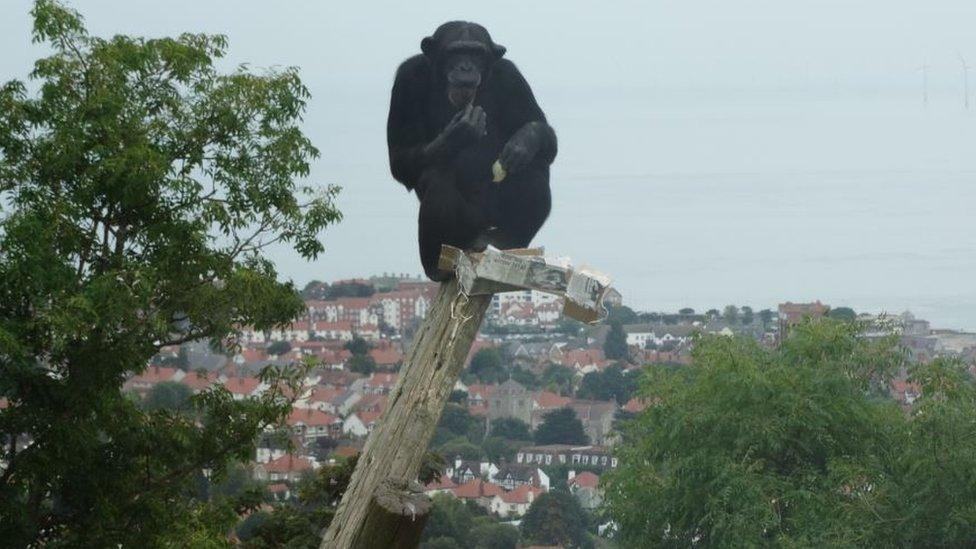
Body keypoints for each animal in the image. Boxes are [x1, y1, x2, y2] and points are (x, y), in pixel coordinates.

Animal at [386, 20, 556, 280]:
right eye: (455, 52)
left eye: (476, 53)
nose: (465, 67)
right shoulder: (407, 79)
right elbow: (400, 157)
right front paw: (458, 134)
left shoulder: (513, 78)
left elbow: (543, 135)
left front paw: (524, 140)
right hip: (464, 232)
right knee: (436, 175)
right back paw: (435, 265)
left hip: (493, 222)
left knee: (533, 166)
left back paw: (507, 239)